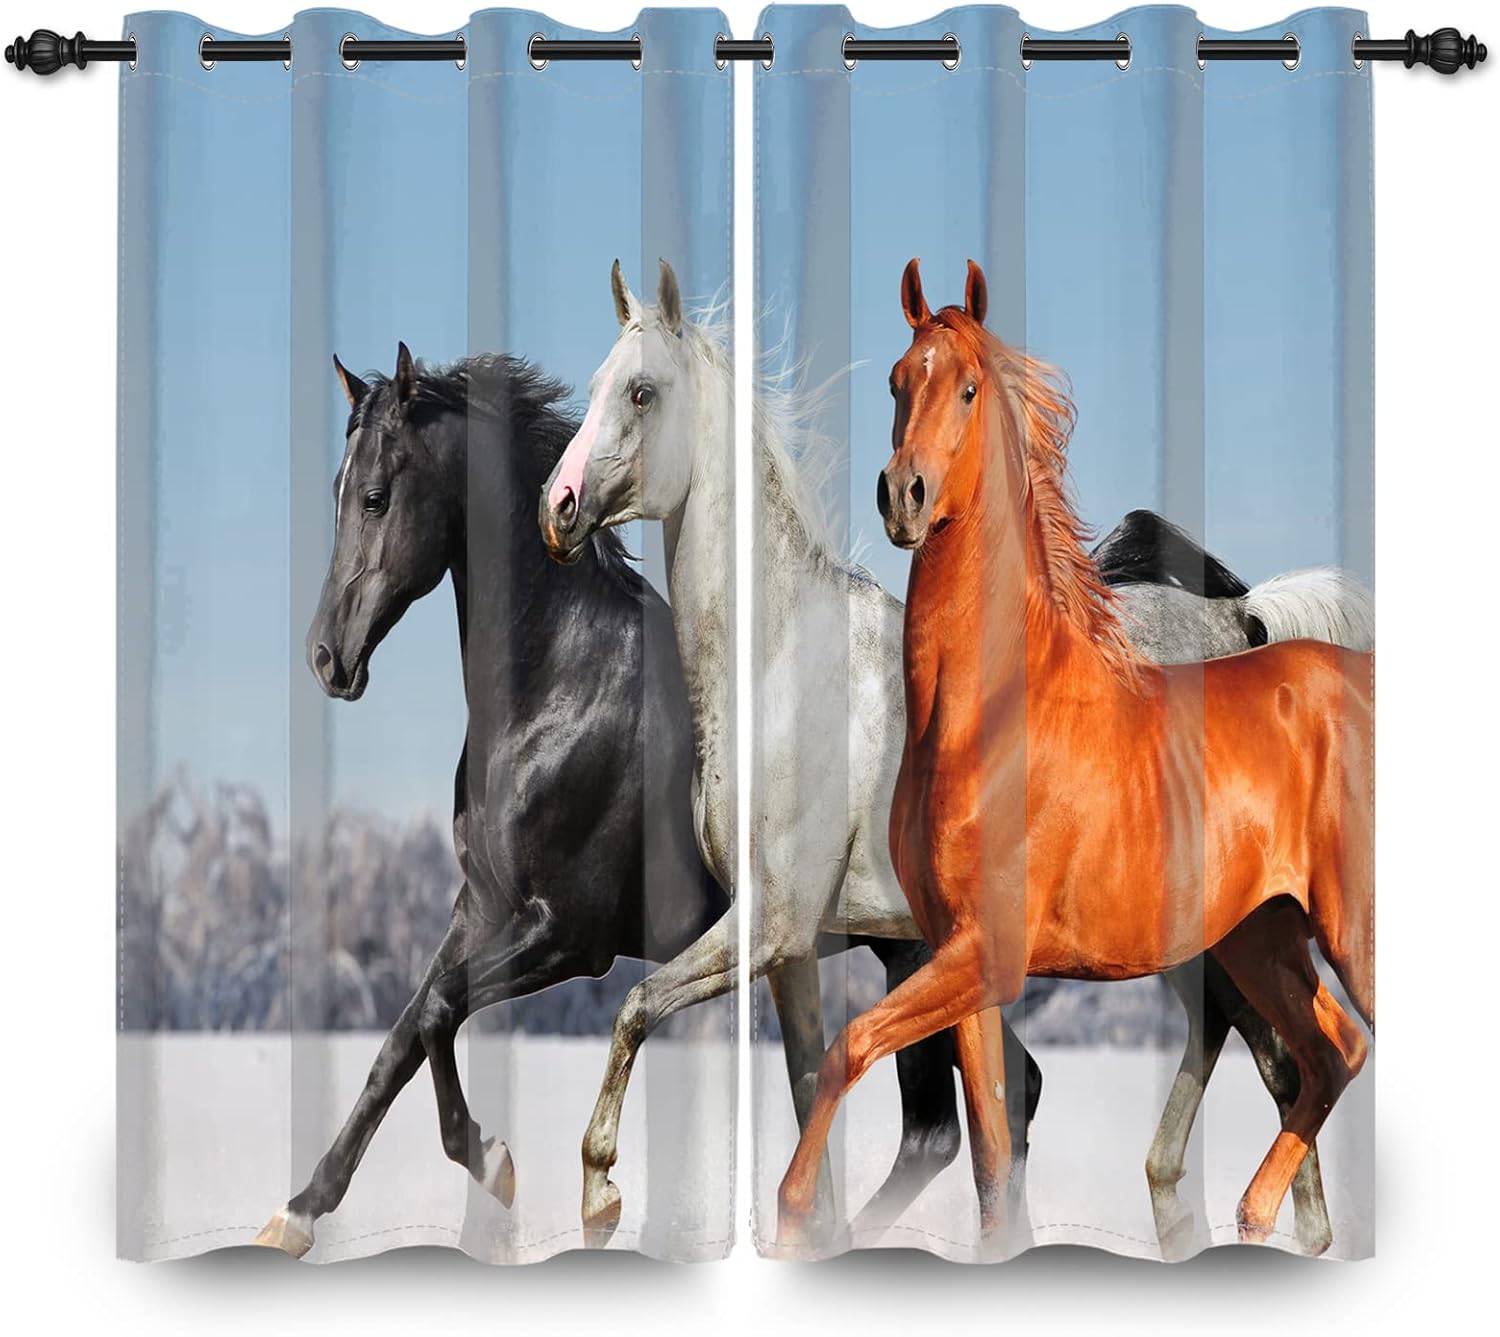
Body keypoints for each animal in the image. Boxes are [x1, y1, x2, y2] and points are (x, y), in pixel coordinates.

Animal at [254, 344, 974, 1257]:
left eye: (377, 494)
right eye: (339, 490)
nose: (327, 657)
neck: (562, 688)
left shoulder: (571, 933)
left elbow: (441, 1011)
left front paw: (498, 1162)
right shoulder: (480, 907)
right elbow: (404, 1035)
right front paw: (298, 1210)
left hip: (909, 950)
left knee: (946, 1125)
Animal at [539, 261, 1367, 1256]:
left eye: (641, 391)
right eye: (591, 384)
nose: (557, 510)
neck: (778, 660)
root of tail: (1242, 621)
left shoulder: (767, 925)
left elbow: (635, 1008)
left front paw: (599, 1194)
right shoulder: (792, 951)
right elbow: (813, 1082)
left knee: (1281, 1061)